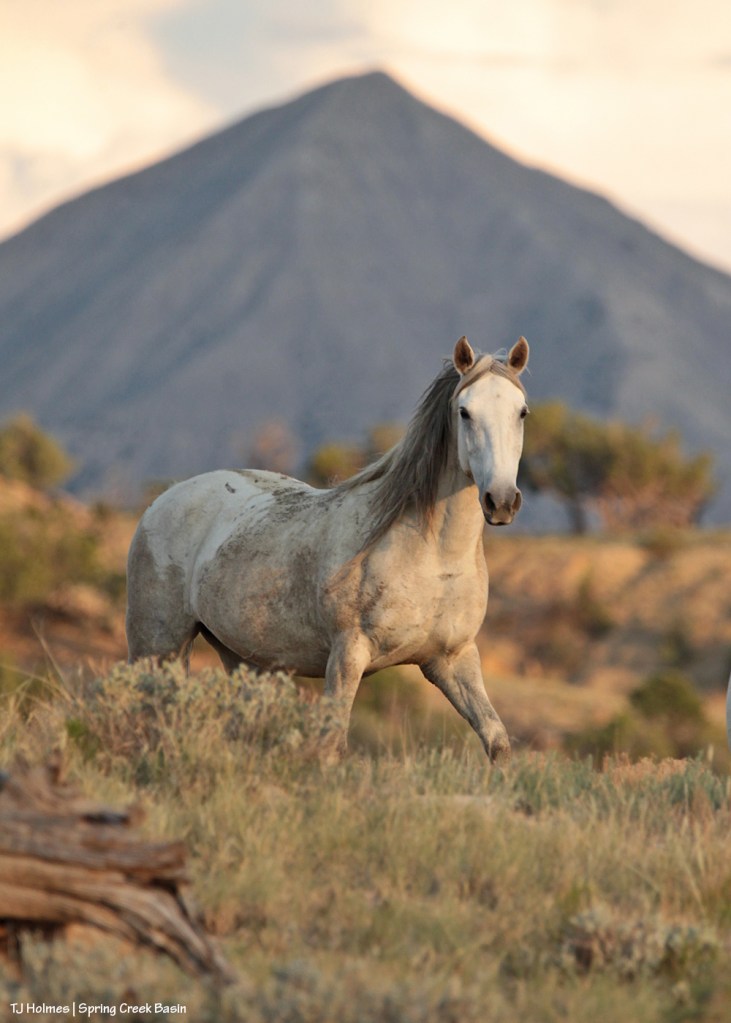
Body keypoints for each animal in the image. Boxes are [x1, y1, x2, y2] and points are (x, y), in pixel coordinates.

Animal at [126, 335, 530, 762]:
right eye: (464, 412)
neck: (435, 558)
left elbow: (496, 739)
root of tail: (164, 499)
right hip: (158, 647)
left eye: (521, 412)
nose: (501, 501)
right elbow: (332, 743)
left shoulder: (452, 659)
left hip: (241, 658)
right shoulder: (348, 655)